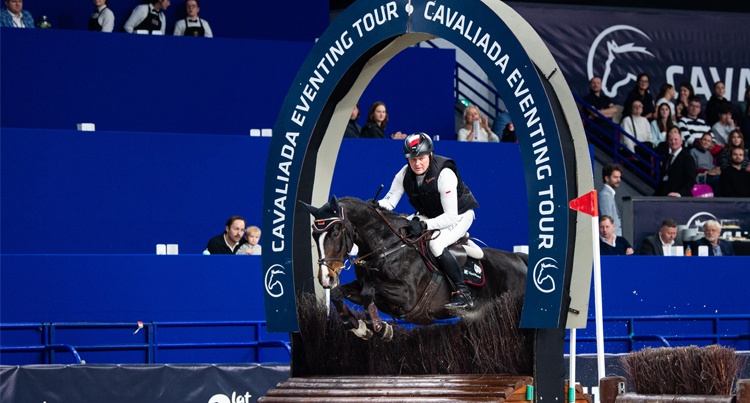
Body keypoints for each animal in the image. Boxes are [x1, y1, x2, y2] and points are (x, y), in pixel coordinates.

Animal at [302, 196, 528, 340]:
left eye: (336, 231)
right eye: (314, 234)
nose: (326, 279)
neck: (386, 247)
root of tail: (519, 259)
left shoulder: (407, 296)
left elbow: (369, 292)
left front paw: (380, 329)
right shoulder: (361, 286)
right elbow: (339, 294)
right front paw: (359, 329)